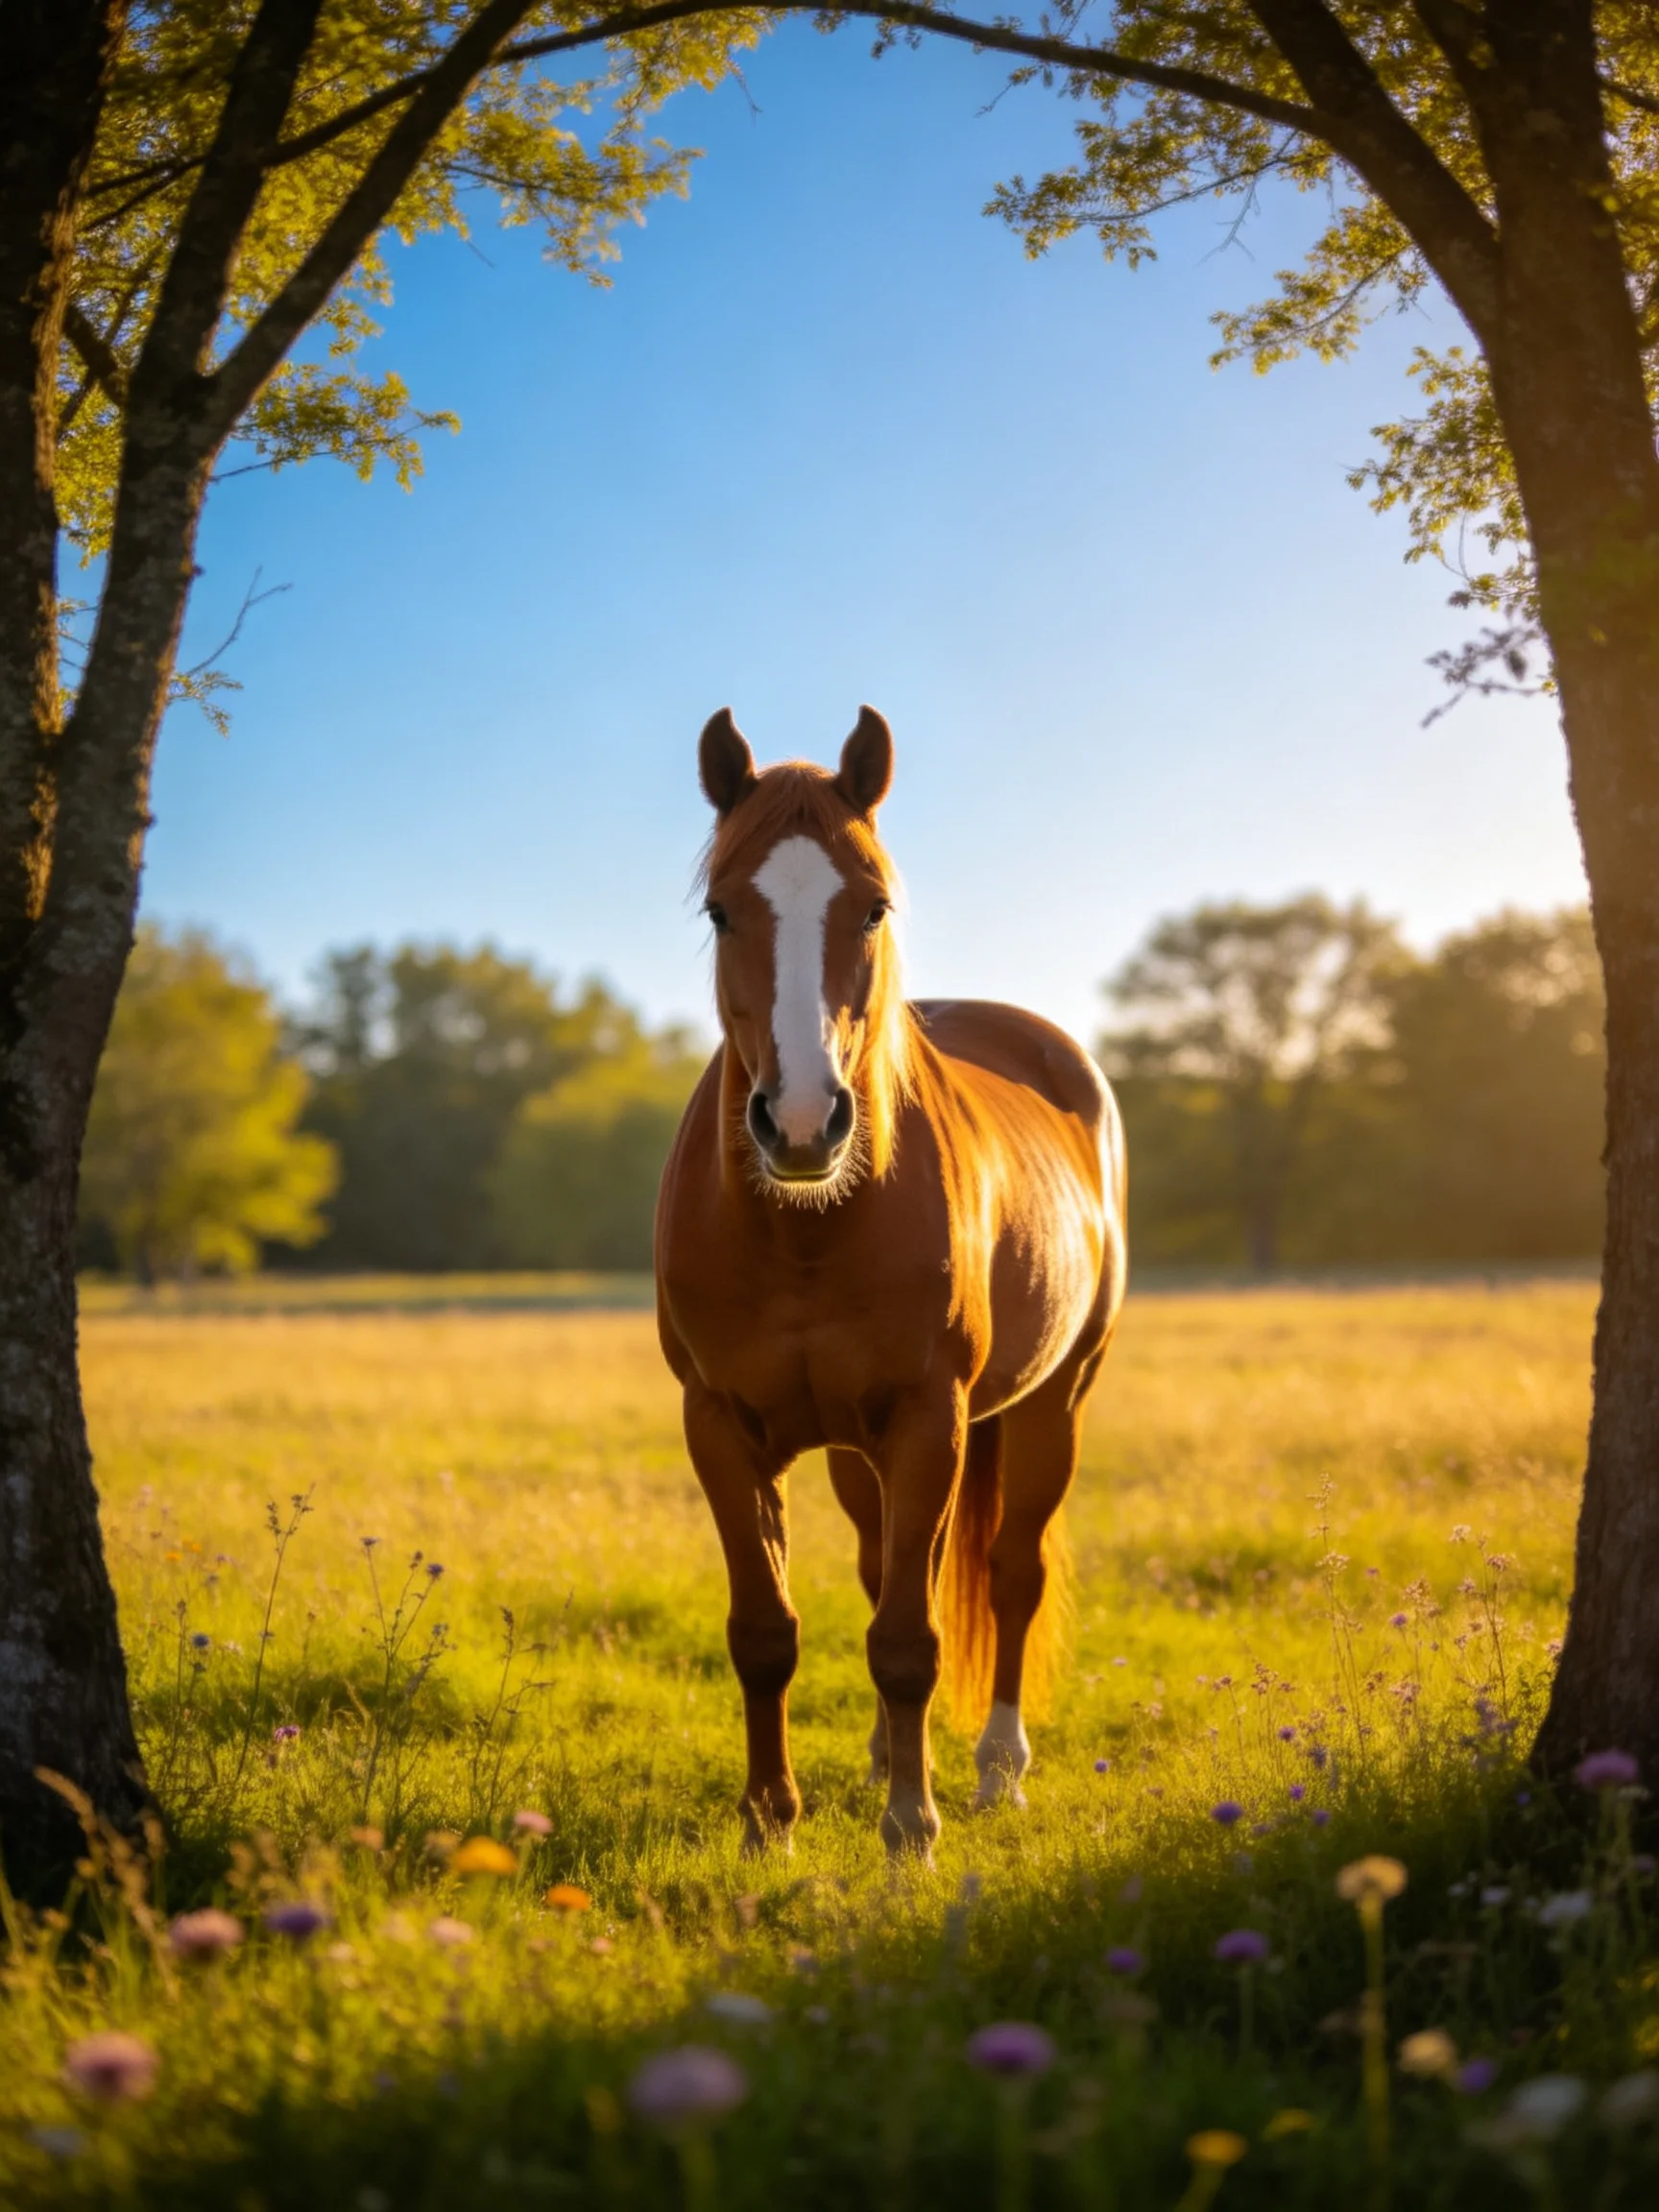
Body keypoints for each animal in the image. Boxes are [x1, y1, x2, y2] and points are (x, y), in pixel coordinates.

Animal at [654, 705, 1127, 1858]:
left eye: (871, 906)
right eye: (721, 910)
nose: (801, 1123)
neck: (805, 1233)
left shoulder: (928, 1420)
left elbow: (910, 1636)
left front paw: (912, 1828)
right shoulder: (718, 1425)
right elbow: (767, 1630)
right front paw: (769, 1822)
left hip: (1054, 1402)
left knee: (1008, 1573)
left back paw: (996, 1769)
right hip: (851, 1452)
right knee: (883, 1568)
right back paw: (881, 1759)